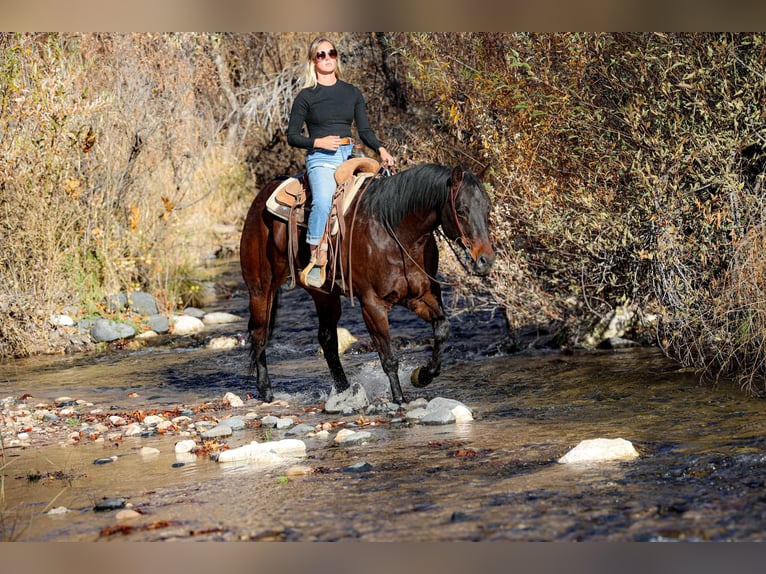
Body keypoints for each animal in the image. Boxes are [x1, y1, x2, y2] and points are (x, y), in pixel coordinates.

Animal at [239, 162, 495, 405]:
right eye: (461, 210)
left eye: (487, 208)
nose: (486, 260)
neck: (397, 233)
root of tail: (262, 195)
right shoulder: (373, 305)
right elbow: (388, 357)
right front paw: (399, 399)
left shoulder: (420, 297)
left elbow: (442, 329)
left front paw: (422, 375)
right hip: (261, 290)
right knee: (260, 336)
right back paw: (267, 392)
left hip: (324, 295)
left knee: (327, 339)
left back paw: (344, 390)